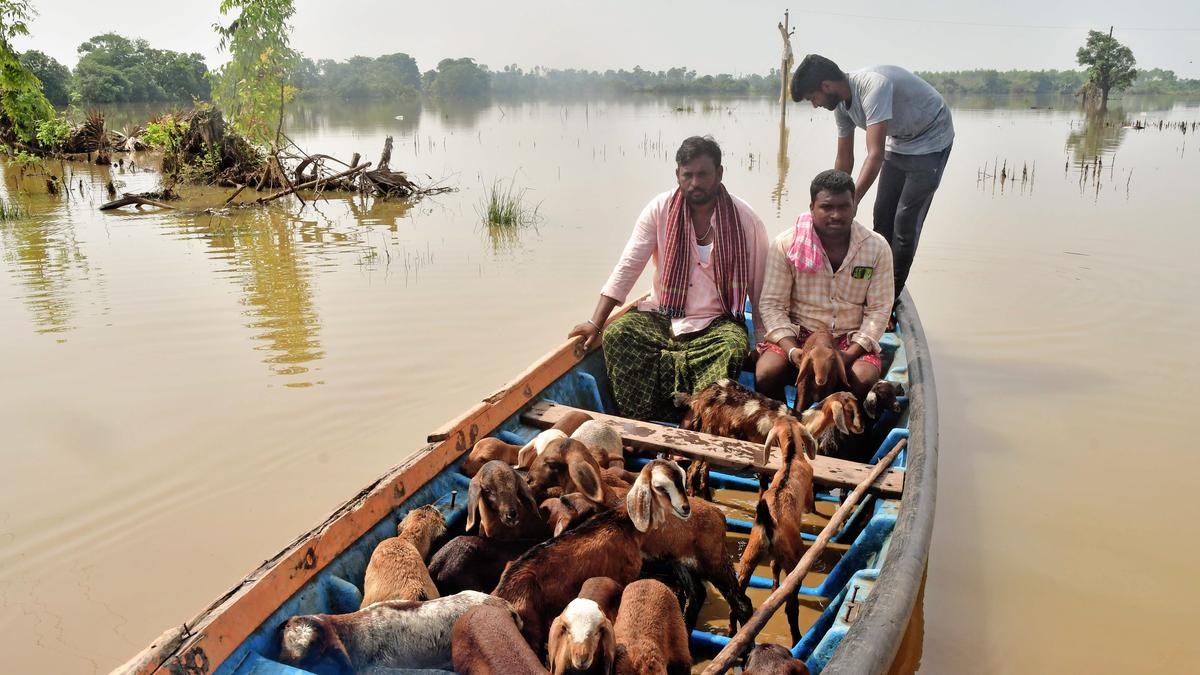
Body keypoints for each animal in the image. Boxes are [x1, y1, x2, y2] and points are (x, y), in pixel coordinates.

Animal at [489, 456, 691, 653]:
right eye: (660, 487)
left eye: (682, 479)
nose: (685, 508)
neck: (624, 525)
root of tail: (502, 593)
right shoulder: (625, 577)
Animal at [734, 415, 820, 638]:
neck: (791, 458)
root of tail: (767, 524)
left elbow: (773, 569)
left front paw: (773, 588)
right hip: (793, 562)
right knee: (791, 607)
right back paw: (797, 638)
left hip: (750, 556)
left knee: (738, 600)